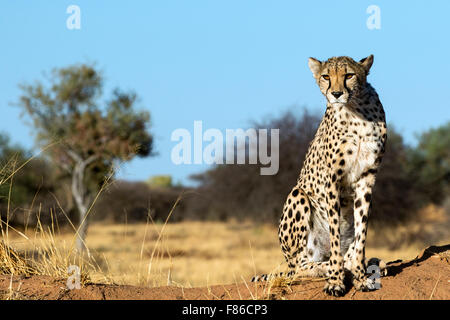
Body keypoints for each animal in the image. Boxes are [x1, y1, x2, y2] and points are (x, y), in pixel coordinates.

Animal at [253, 54, 386, 296]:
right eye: (326, 76)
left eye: (349, 75)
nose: (336, 93)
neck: (355, 109)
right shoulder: (332, 179)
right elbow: (334, 234)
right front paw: (335, 280)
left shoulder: (367, 177)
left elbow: (361, 233)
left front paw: (361, 276)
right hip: (298, 196)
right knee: (299, 268)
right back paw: (327, 267)